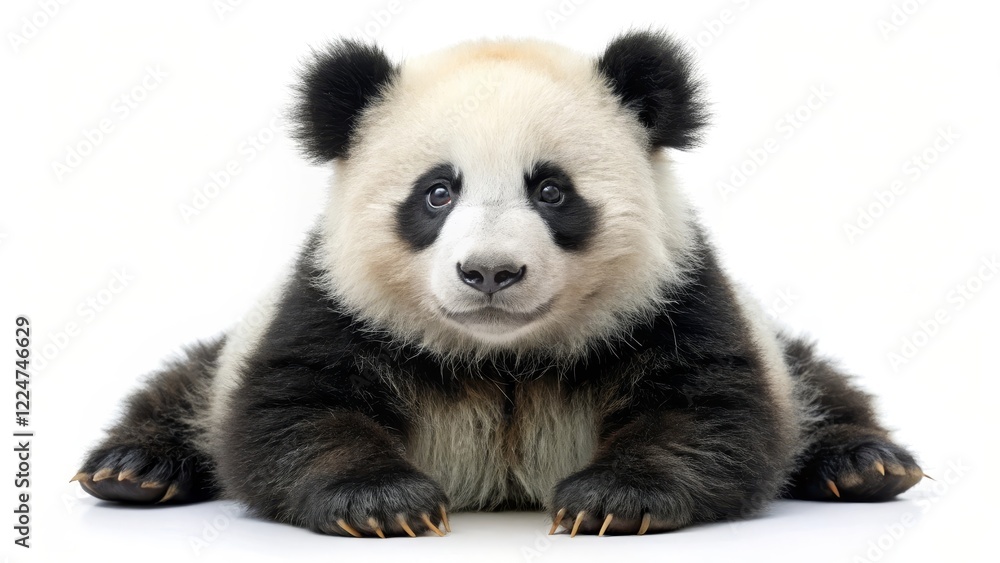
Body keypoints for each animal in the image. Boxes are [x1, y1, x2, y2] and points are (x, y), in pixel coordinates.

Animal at [73, 30, 924, 538]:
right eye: (435, 192)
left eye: (550, 190)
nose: (490, 271)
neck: (503, 357)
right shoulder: (331, 303)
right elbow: (289, 412)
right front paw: (384, 504)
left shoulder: (676, 298)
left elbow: (714, 410)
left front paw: (611, 498)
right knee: (190, 381)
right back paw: (134, 468)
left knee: (812, 383)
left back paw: (864, 462)